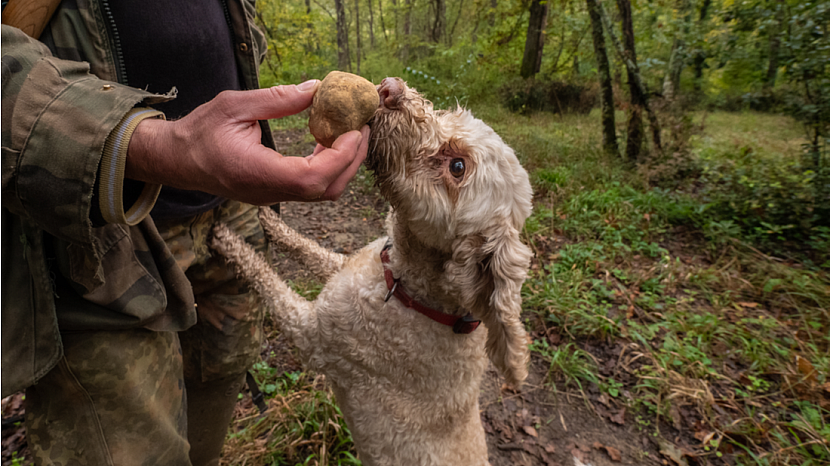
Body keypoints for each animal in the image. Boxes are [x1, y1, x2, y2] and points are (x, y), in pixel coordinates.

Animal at [211, 78, 536, 464]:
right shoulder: (345, 266)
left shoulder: (313, 336)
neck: (406, 289)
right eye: (447, 115)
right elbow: (308, 249)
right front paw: (268, 220)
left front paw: (227, 240)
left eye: (457, 166)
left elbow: (266, 280)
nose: (390, 88)